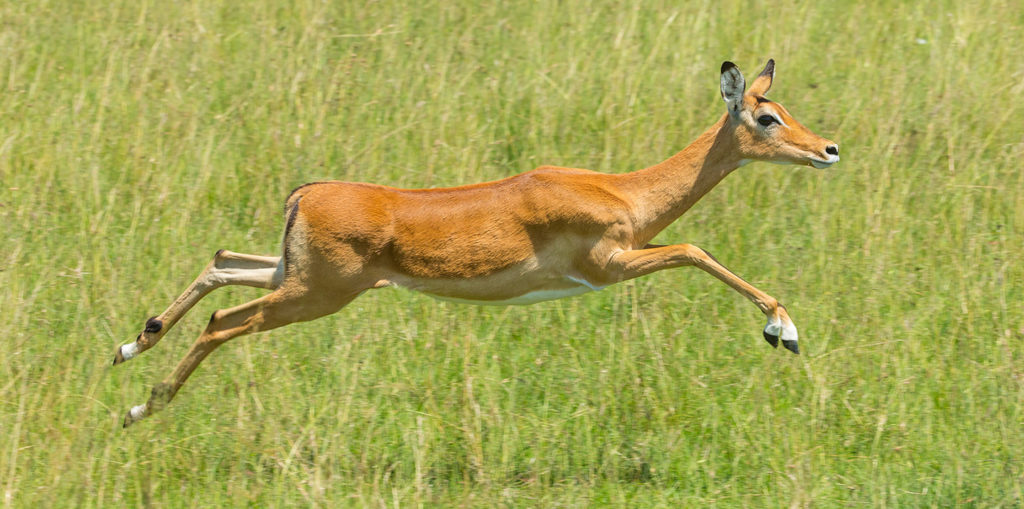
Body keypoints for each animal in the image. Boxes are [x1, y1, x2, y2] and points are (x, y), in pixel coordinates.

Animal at [117, 58, 839, 423]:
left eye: (787, 108)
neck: (621, 193)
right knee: (222, 319)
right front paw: (785, 330)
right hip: (310, 296)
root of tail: (307, 193)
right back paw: (139, 407)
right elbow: (696, 249)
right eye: (766, 117)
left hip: (292, 277)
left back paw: (131, 344)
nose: (829, 149)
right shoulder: (608, 265)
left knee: (220, 262)